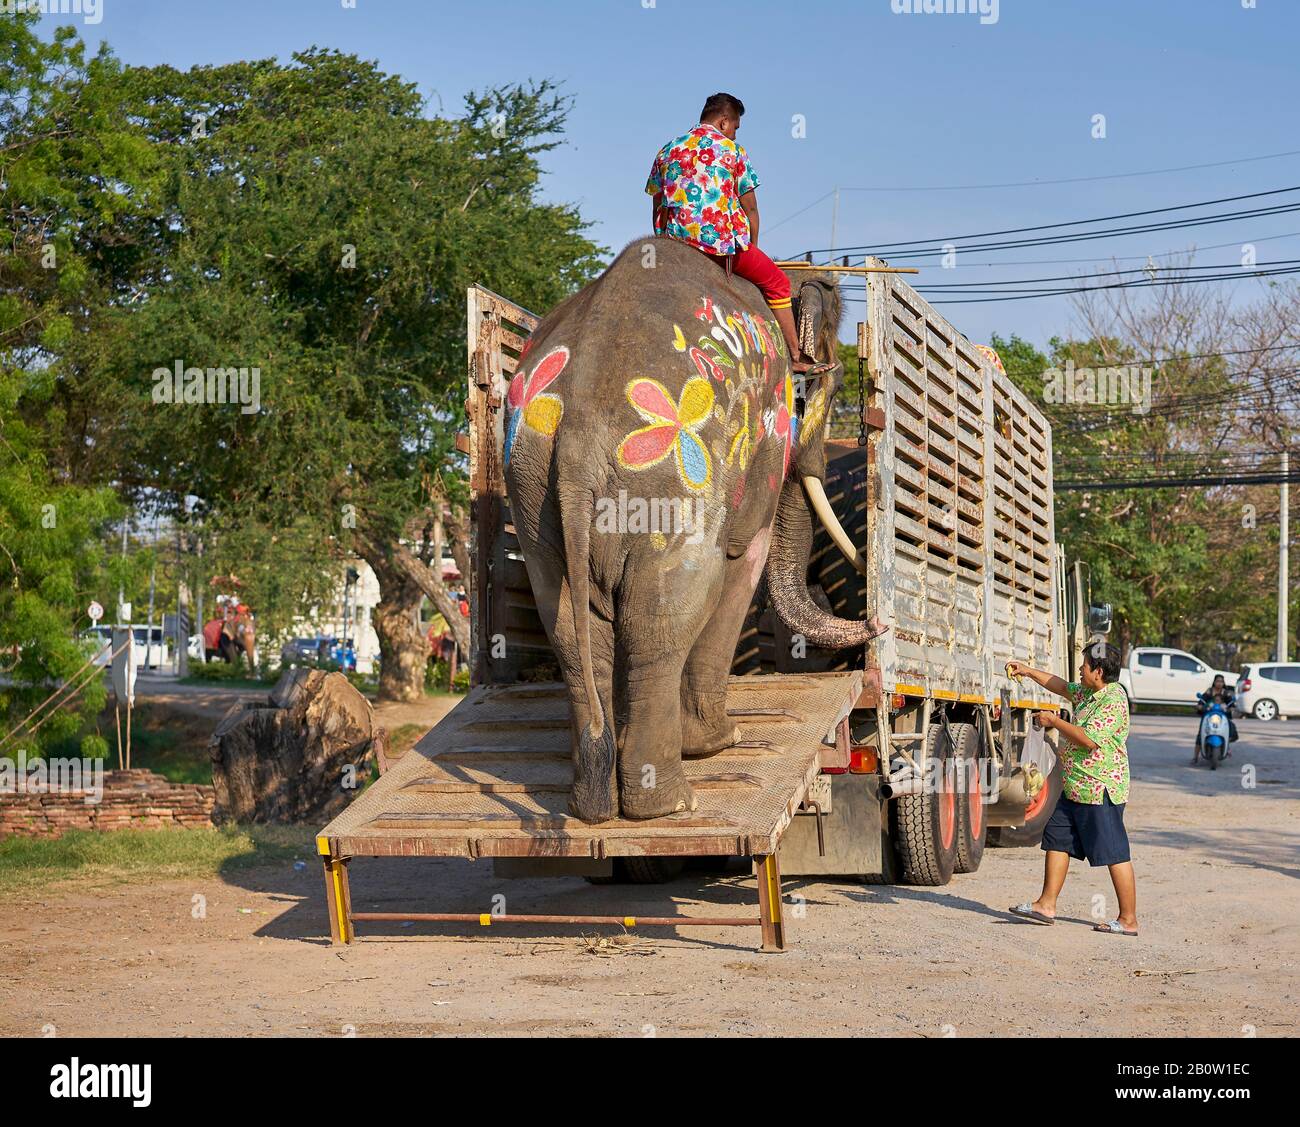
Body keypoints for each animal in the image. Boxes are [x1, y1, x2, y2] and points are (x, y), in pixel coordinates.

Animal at [504, 235, 883, 821]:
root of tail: (580, 432)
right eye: (833, 382)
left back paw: (594, 805)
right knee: (668, 609)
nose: (877, 625)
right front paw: (718, 742)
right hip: (672, 491)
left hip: (532, 493)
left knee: (568, 623)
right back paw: (668, 802)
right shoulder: (759, 445)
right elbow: (742, 557)